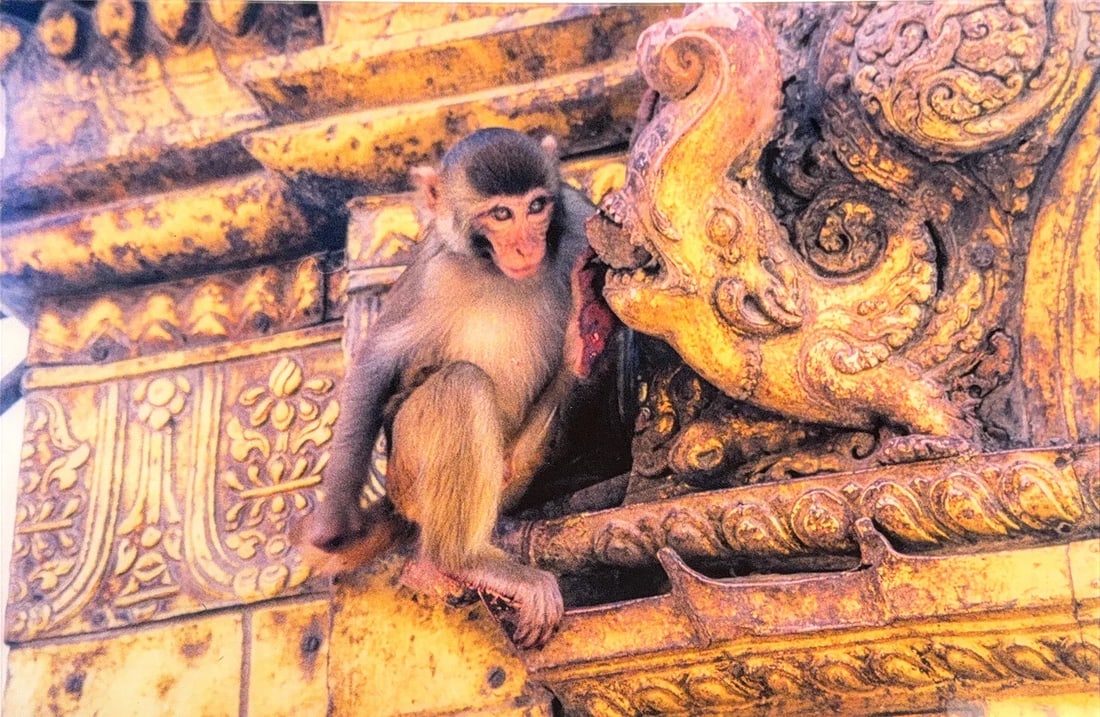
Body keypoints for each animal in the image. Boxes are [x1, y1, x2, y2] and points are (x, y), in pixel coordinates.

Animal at [306, 127, 601, 648]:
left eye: (537, 206)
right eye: (501, 214)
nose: (527, 246)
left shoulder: (579, 222)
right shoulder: (433, 274)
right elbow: (377, 360)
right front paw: (334, 521)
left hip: (511, 471)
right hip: (407, 476)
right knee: (462, 384)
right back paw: (460, 559)